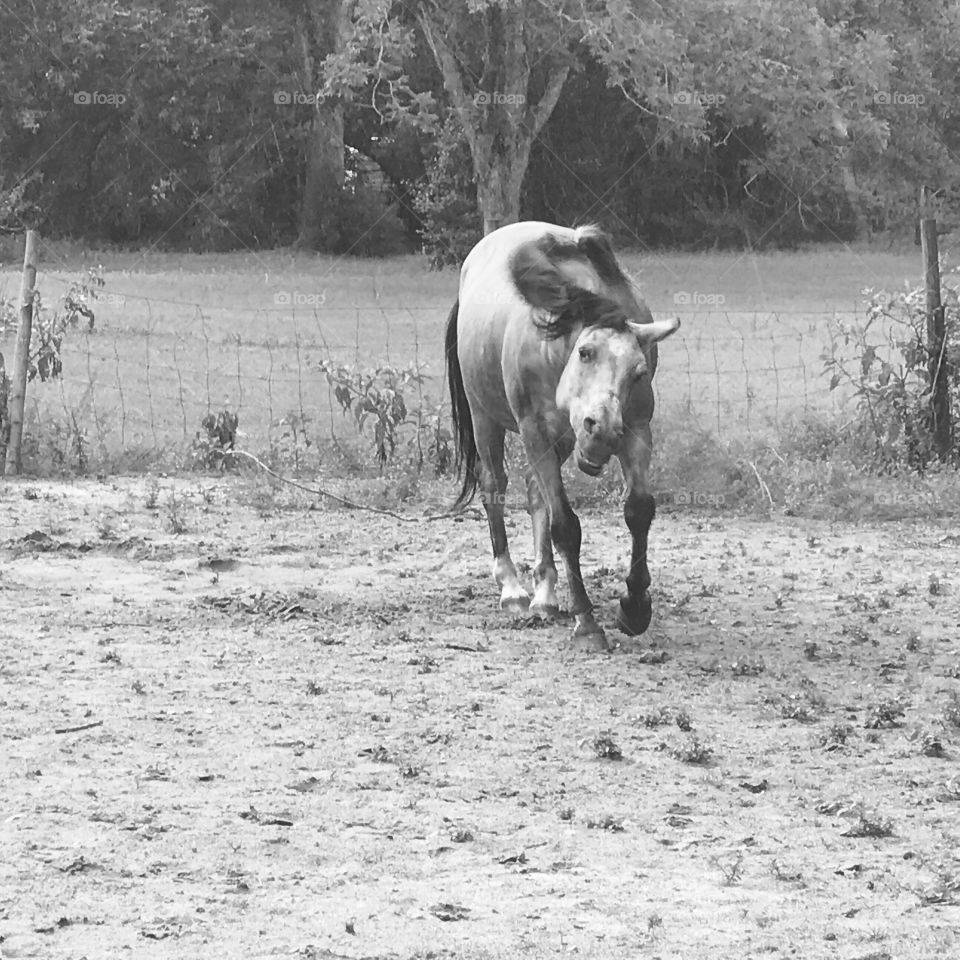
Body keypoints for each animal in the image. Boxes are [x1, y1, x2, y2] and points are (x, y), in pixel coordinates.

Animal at [445, 221, 679, 650]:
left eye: (638, 371)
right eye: (585, 352)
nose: (602, 431)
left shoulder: (637, 429)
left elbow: (638, 510)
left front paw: (635, 608)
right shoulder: (534, 430)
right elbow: (566, 526)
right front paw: (587, 621)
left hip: (564, 440)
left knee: (535, 492)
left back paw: (546, 593)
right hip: (486, 417)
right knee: (494, 486)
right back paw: (512, 588)